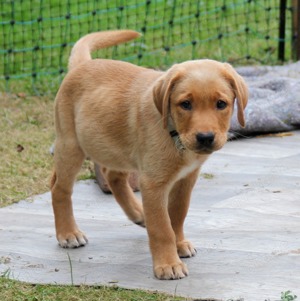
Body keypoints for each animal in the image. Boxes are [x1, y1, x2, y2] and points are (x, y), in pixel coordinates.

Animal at [51, 29, 248, 278]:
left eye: (221, 104)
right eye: (185, 104)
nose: (205, 138)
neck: (175, 135)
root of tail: (83, 64)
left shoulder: (186, 179)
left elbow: (177, 214)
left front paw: (179, 244)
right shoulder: (153, 183)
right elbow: (161, 227)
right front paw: (168, 264)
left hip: (114, 147)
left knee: (112, 176)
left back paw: (138, 213)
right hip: (72, 144)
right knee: (59, 189)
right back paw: (68, 233)